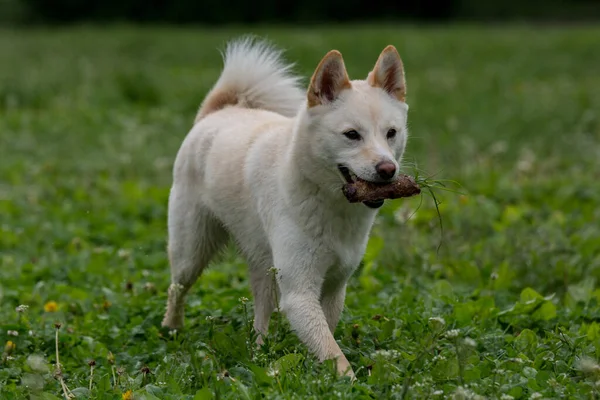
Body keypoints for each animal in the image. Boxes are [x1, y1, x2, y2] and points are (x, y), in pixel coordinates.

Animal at [162, 37, 410, 378]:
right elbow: (333, 351)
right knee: (177, 288)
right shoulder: (298, 293)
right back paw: (171, 329)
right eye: (351, 135)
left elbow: (326, 337)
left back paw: (259, 353)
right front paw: (348, 380)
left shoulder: (334, 287)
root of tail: (219, 110)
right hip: (192, 252)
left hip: (263, 266)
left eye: (391, 133)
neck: (329, 202)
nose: (388, 169)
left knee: (261, 314)